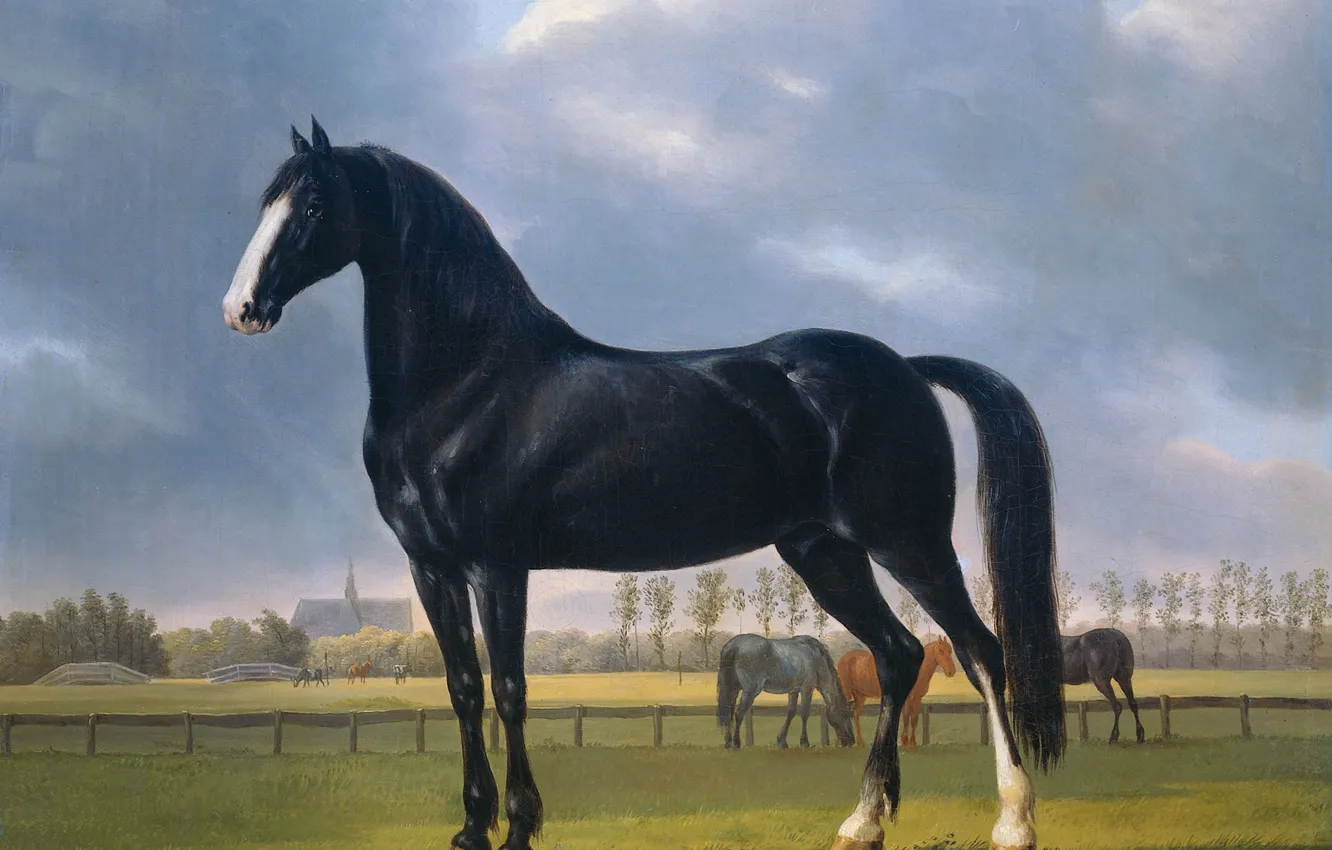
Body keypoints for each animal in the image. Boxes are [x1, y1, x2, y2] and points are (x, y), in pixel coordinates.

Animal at [717, 634, 857, 750]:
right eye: (845, 715)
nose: (851, 741)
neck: (815, 656)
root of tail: (733, 645)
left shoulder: (793, 691)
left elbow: (791, 713)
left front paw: (782, 742)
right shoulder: (807, 689)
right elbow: (804, 714)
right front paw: (804, 742)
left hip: (733, 689)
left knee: (729, 713)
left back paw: (728, 742)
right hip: (750, 691)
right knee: (739, 714)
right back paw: (736, 743)